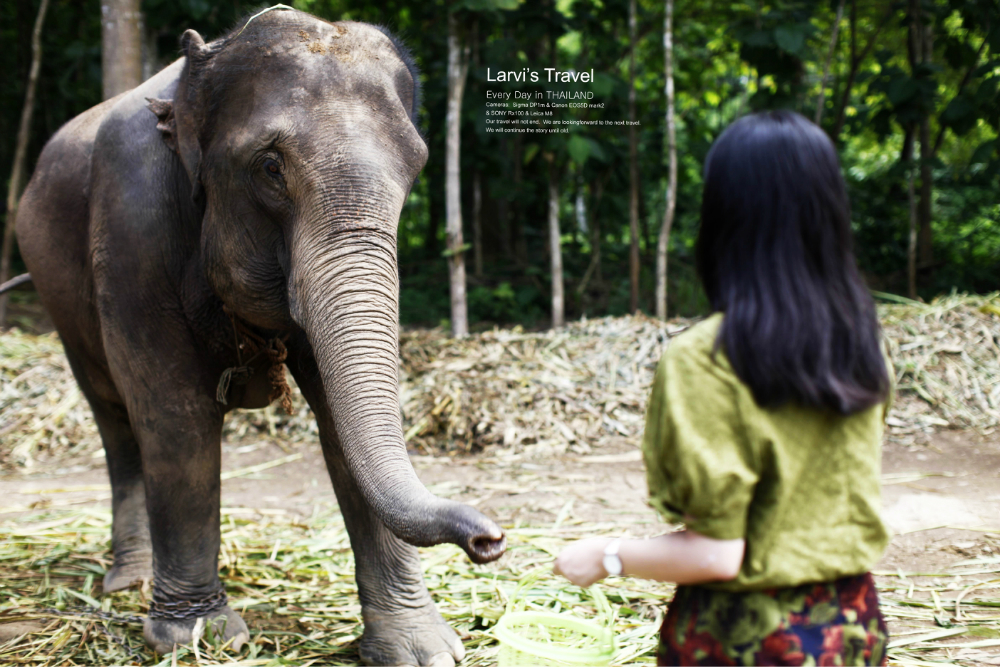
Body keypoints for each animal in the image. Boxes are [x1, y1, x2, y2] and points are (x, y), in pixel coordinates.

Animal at [12, 7, 504, 664]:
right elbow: (175, 412)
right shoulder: (130, 227)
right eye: (270, 167)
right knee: (115, 420)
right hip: (57, 298)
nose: (490, 540)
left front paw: (419, 649)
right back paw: (130, 582)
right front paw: (197, 636)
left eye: (416, 169)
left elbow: (336, 417)